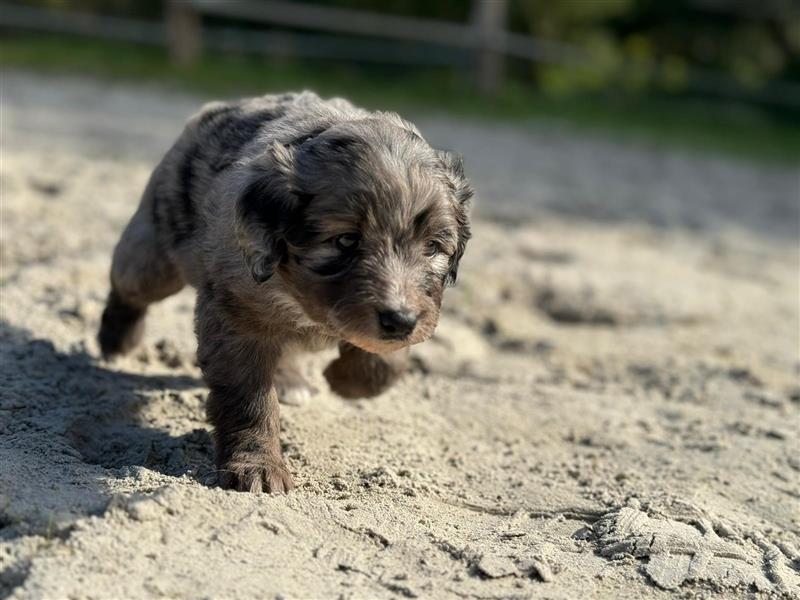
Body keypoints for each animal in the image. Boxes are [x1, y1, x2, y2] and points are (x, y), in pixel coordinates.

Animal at [101, 90, 476, 492]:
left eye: (433, 248)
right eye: (345, 240)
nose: (400, 320)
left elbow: (385, 360)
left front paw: (348, 380)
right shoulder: (237, 318)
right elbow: (249, 399)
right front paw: (257, 466)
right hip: (155, 255)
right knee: (128, 285)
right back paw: (116, 339)